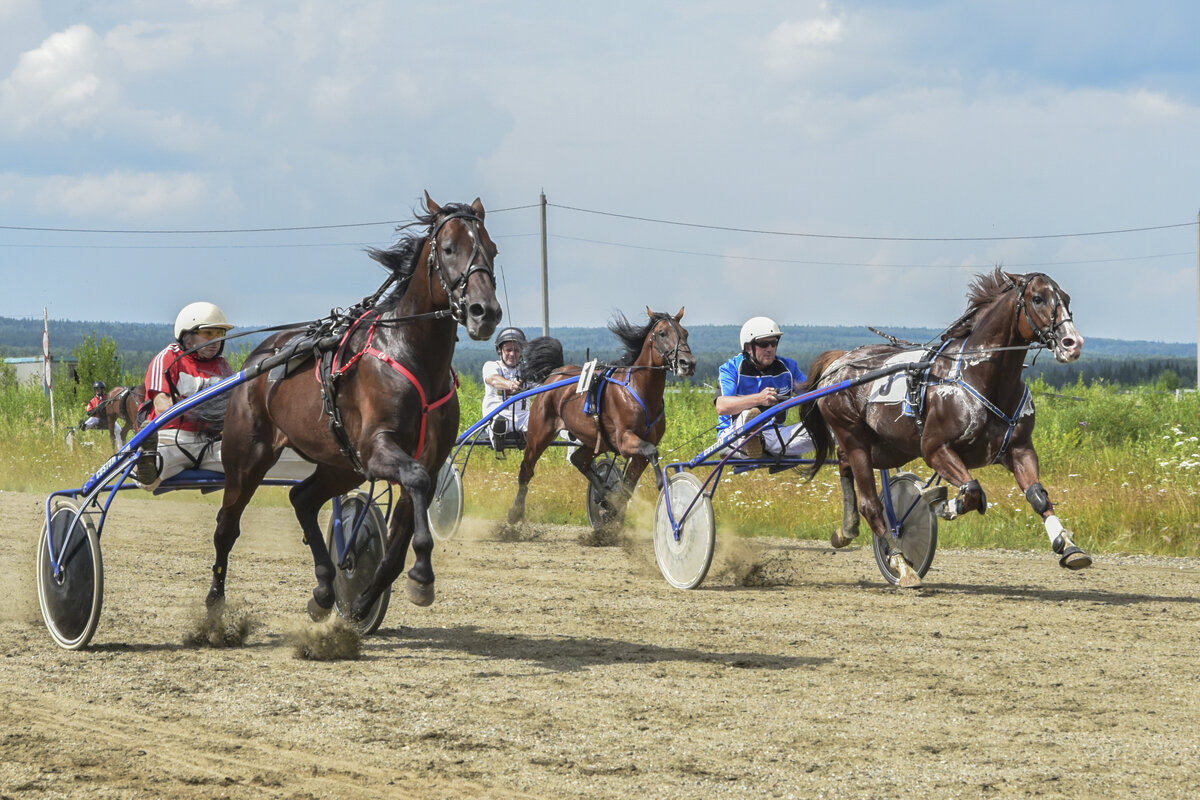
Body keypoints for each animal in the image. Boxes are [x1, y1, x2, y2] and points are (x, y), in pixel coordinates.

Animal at [213, 191, 499, 618]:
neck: (411, 355)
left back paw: (324, 590)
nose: (486, 312)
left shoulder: (428, 457)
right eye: (449, 248)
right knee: (227, 526)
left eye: (492, 250)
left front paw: (364, 601)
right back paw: (214, 602)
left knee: (302, 499)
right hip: (248, 458)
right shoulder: (378, 447)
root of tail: (258, 360)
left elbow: (399, 539)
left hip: (342, 464)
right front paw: (421, 575)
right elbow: (416, 480)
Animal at [504, 309, 696, 527]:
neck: (639, 391)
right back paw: (515, 512)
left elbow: (629, 484)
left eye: (685, 333)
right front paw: (660, 483)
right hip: (539, 434)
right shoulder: (624, 440)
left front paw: (613, 508)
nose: (687, 363)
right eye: (663, 333)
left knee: (578, 459)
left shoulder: (638, 451)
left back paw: (604, 493)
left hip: (595, 440)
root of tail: (555, 374)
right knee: (526, 470)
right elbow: (651, 451)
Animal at [806, 268, 1089, 587]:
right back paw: (901, 564)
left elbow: (1038, 496)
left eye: (1066, 298)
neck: (979, 375)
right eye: (1038, 298)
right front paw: (943, 505)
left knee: (844, 466)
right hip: (853, 437)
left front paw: (1069, 546)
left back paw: (847, 530)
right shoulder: (935, 449)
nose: (1072, 343)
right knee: (871, 504)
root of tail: (839, 362)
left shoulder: (1019, 449)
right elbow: (972, 491)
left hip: (885, 448)